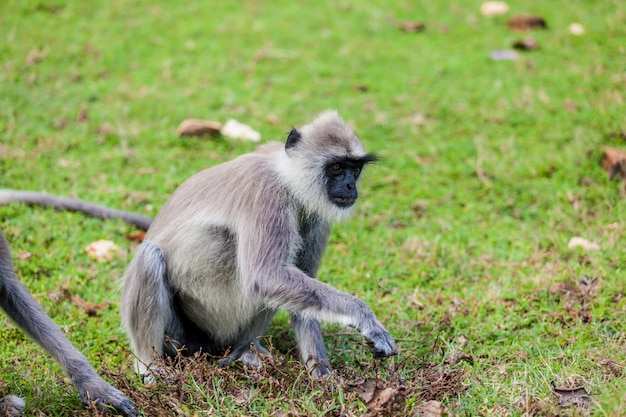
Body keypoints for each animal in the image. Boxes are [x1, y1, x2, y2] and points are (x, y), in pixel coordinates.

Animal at [118, 110, 394, 376]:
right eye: (336, 167)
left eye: (355, 170)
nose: (349, 186)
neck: (286, 179)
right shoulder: (266, 192)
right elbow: (266, 275)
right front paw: (363, 316)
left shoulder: (315, 215)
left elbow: (298, 283)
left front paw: (322, 374)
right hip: (182, 335)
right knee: (150, 256)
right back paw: (149, 365)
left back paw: (246, 348)